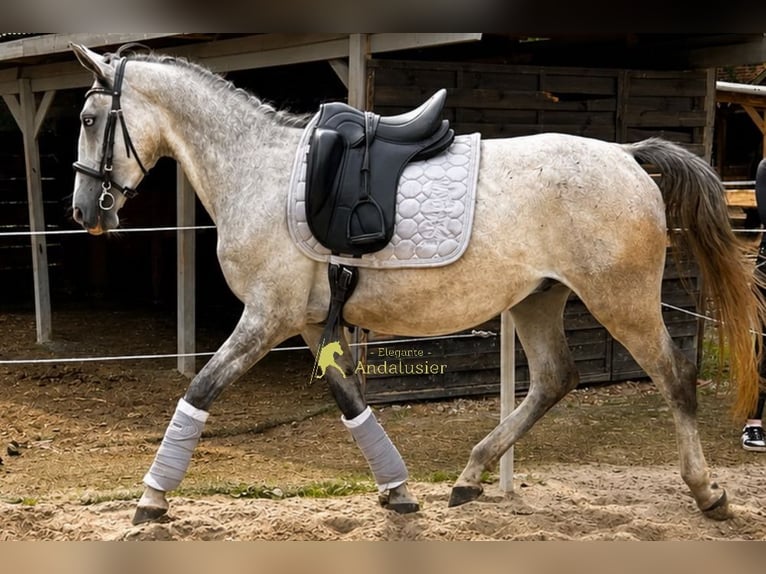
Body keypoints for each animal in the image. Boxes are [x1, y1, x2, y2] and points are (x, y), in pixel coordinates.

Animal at [69, 43, 765, 526]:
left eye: (88, 117)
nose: (81, 212)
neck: (259, 172)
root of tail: (625, 156)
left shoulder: (266, 317)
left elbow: (202, 390)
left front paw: (152, 497)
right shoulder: (305, 322)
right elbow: (350, 400)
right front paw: (398, 491)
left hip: (622, 300)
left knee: (675, 377)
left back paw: (708, 493)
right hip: (538, 300)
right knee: (554, 379)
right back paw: (471, 475)